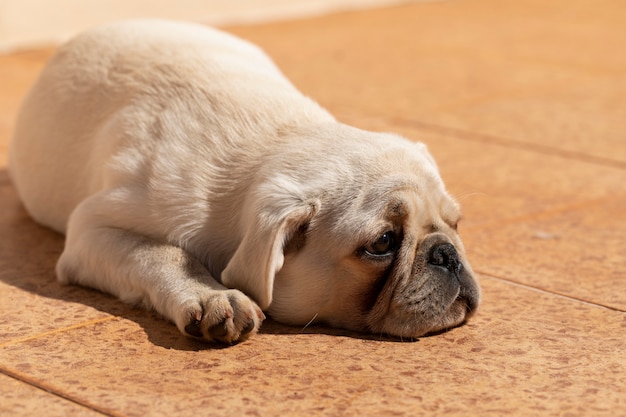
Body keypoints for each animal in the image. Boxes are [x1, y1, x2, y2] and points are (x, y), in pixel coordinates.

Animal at [8, 19, 478, 342]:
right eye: (382, 244)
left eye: (456, 223)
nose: (447, 254)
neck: (278, 137)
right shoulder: (93, 229)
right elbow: (161, 253)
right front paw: (212, 296)